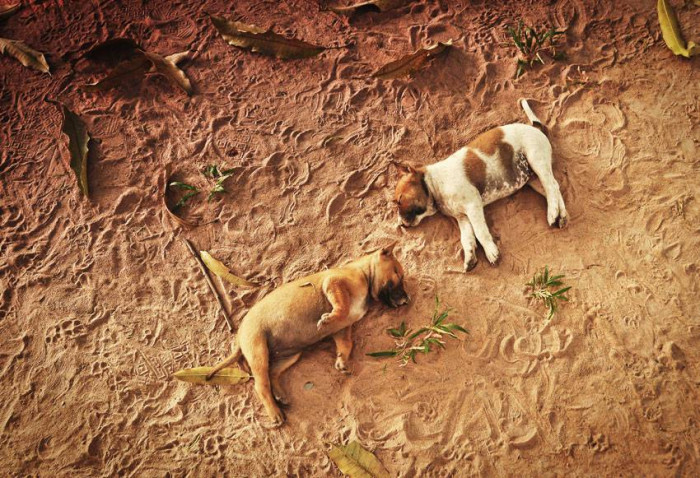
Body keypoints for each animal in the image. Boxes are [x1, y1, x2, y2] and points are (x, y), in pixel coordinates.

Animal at [205, 246, 408, 426]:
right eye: (398, 274)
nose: (407, 300)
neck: (364, 273)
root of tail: (239, 336)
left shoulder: (342, 329)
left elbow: (346, 344)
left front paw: (342, 361)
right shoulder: (333, 284)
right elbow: (341, 308)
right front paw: (327, 319)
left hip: (290, 355)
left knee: (272, 373)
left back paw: (280, 395)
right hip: (258, 351)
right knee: (260, 385)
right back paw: (274, 412)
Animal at [394, 99, 568, 270]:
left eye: (400, 200)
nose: (401, 225)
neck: (433, 185)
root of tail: (536, 128)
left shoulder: (473, 205)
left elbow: (480, 232)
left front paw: (491, 252)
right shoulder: (462, 217)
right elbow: (467, 238)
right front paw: (470, 258)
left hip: (536, 159)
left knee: (552, 186)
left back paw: (552, 213)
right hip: (532, 179)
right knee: (554, 188)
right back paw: (562, 216)